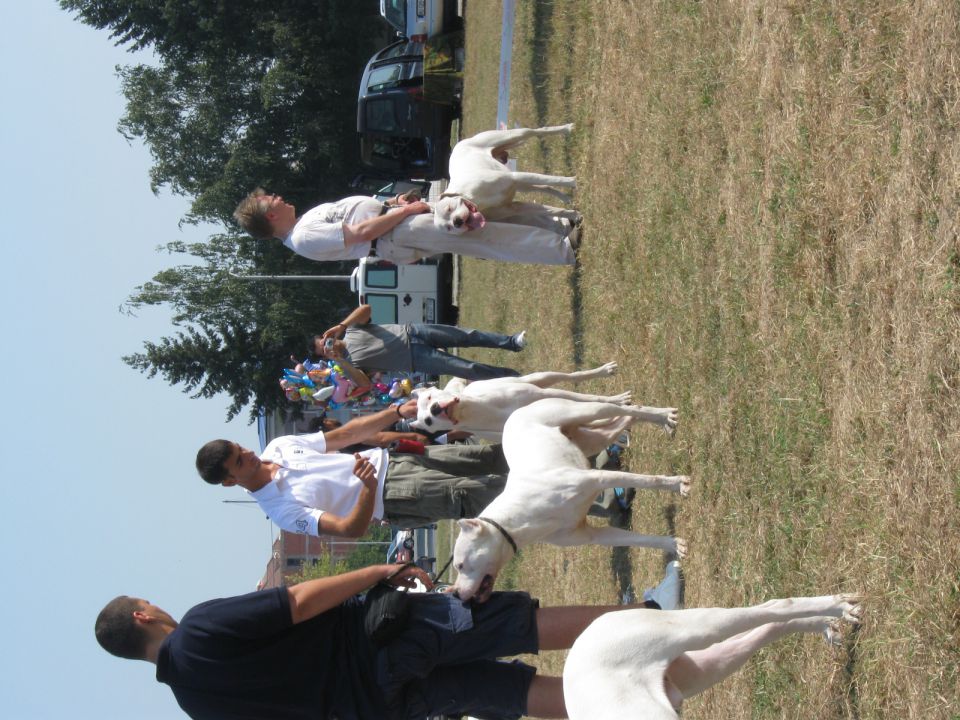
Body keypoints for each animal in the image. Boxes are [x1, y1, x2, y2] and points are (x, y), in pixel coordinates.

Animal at [410, 358, 632, 438]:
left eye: (429, 397)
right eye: (428, 422)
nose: (435, 409)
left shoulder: (548, 394)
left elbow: (594, 398)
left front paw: (619, 400)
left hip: (540, 378)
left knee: (572, 377)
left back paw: (604, 371)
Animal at [436, 124, 576, 233]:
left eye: (449, 208)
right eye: (448, 228)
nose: (456, 222)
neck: (476, 200)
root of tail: (458, 145)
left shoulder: (514, 176)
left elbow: (554, 179)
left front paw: (575, 181)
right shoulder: (516, 207)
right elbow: (554, 210)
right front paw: (574, 215)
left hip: (514, 135)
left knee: (537, 131)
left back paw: (567, 129)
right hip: (520, 185)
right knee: (544, 187)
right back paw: (565, 198)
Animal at [452, 400, 688, 600]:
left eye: (460, 565)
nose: (456, 594)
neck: (523, 514)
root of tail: (516, 413)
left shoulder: (601, 478)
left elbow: (649, 480)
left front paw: (676, 484)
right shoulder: (591, 535)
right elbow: (637, 539)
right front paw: (673, 544)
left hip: (587, 410)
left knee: (624, 409)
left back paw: (662, 415)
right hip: (593, 439)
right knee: (624, 419)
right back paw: (659, 421)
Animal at [564, 592, 864, 716]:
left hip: (701, 629)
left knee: (777, 605)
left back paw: (838, 607)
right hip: (706, 667)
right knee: (770, 625)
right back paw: (826, 624)